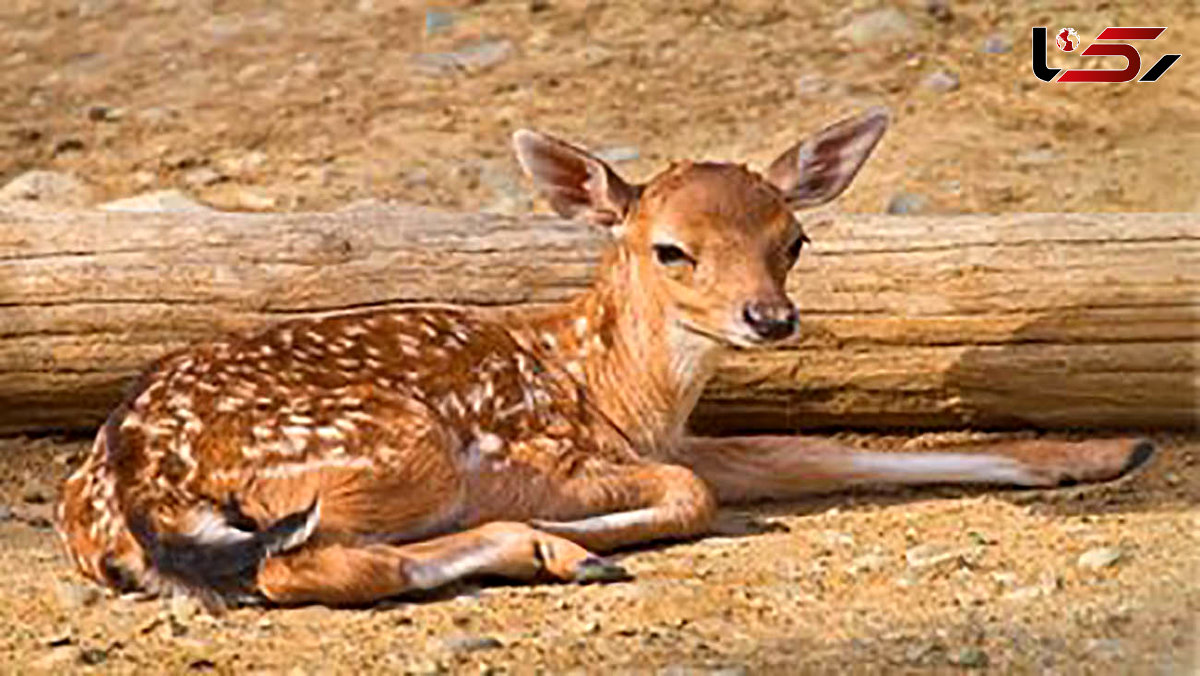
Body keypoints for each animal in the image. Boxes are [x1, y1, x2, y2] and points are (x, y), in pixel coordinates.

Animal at [56, 109, 1152, 607]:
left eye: (794, 237)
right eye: (670, 248)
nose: (770, 318)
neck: (611, 387)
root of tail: (128, 493)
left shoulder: (684, 442)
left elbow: (826, 453)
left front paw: (1108, 454)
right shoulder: (542, 451)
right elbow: (693, 495)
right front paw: (574, 529)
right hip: (395, 445)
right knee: (297, 567)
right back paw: (557, 549)